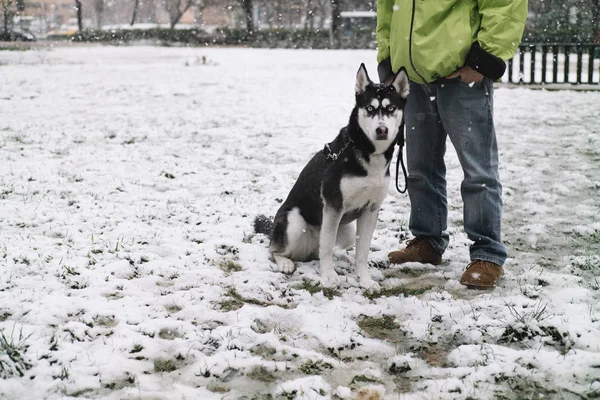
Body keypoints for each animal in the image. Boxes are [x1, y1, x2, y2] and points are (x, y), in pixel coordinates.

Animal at [255, 64, 410, 288]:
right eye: (370, 108)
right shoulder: (333, 205)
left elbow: (362, 253)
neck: (369, 152)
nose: (382, 130)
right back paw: (285, 262)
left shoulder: (371, 209)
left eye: (390, 109)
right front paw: (328, 276)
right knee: (276, 250)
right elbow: (326, 247)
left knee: (331, 248)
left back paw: (343, 258)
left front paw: (365, 280)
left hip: (346, 230)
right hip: (295, 223)